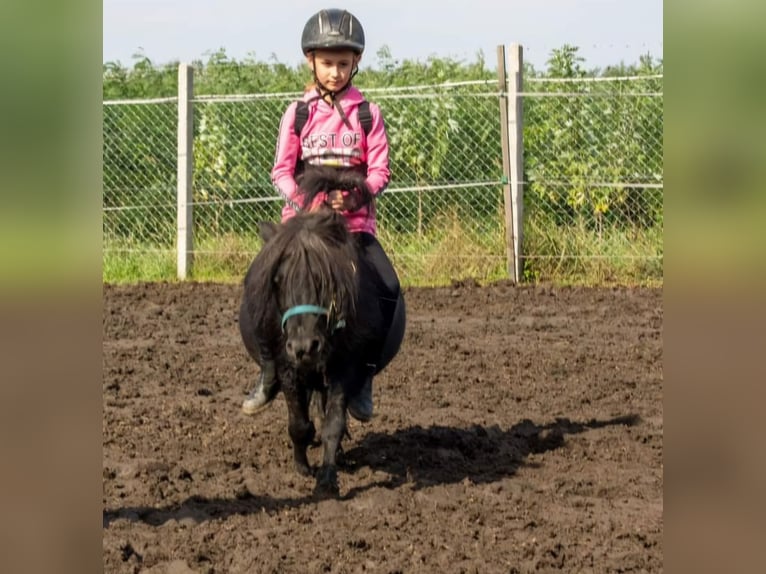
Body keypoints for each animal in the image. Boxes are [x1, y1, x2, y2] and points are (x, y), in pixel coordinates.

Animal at [240, 168, 408, 500]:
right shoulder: (288, 366)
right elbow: (299, 423)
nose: (306, 346)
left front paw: (327, 480)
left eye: (324, 278)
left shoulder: (346, 366)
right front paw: (303, 467)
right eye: (277, 280)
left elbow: (333, 423)